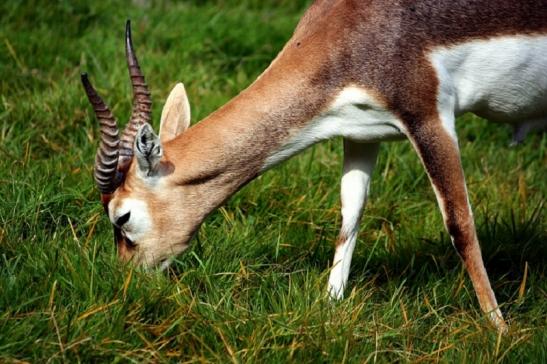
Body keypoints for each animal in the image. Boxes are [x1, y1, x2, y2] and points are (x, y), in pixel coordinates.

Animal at [81, 0, 547, 332]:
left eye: (122, 217)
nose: (126, 283)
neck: (352, 29)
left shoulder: (429, 118)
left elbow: (460, 226)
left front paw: (500, 331)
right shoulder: (361, 132)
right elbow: (349, 216)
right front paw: (330, 304)